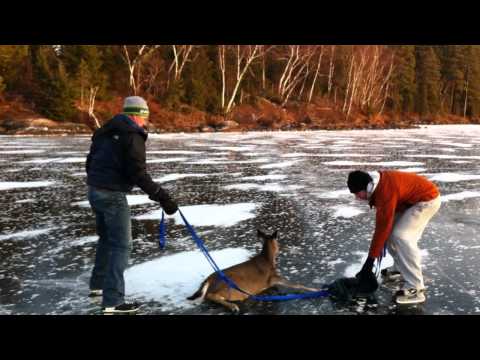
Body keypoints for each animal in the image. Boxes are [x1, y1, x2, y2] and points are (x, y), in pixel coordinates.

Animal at [187, 231, 318, 312]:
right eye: (278, 242)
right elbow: (296, 284)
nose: (281, 250)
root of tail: (208, 279)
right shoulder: (273, 278)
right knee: (209, 295)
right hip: (230, 285)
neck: (268, 259)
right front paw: (316, 289)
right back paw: (233, 306)